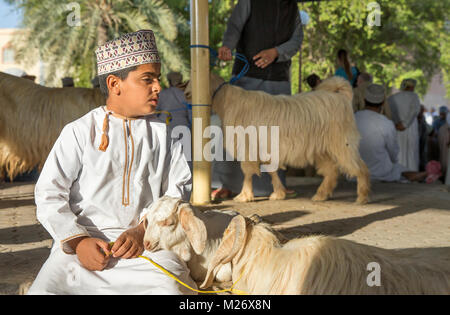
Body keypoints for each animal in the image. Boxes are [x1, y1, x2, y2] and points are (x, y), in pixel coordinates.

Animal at [185, 75, 370, 206]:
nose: (186, 93)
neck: (228, 101)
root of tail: (341, 97)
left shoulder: (248, 146)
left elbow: (248, 172)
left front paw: (244, 196)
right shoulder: (264, 148)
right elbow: (271, 170)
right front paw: (279, 193)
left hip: (342, 143)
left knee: (359, 167)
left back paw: (362, 196)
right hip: (322, 148)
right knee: (331, 171)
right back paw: (320, 195)